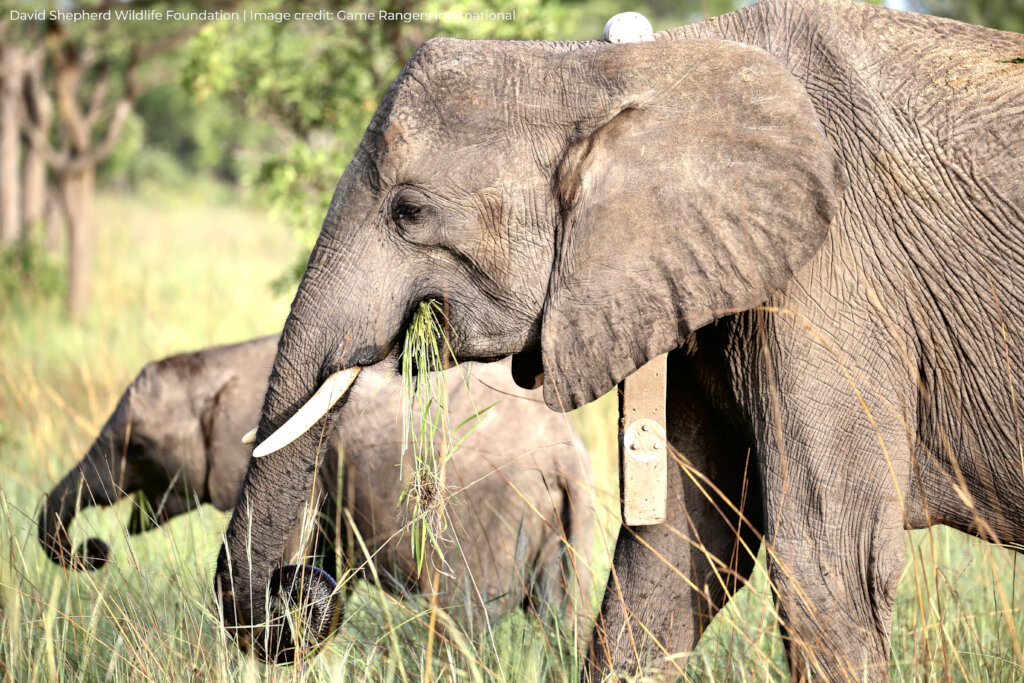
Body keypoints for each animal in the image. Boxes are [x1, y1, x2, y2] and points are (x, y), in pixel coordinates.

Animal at [38, 336, 593, 640]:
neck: (227, 362)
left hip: (483, 518)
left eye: (138, 448)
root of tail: (566, 457)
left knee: (463, 626)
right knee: (561, 628)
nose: (96, 548)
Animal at [213, 0, 1024, 679]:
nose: (300, 583)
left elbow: (831, 564)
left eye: (408, 211)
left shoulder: (836, 277)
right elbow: (672, 560)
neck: (633, 72)